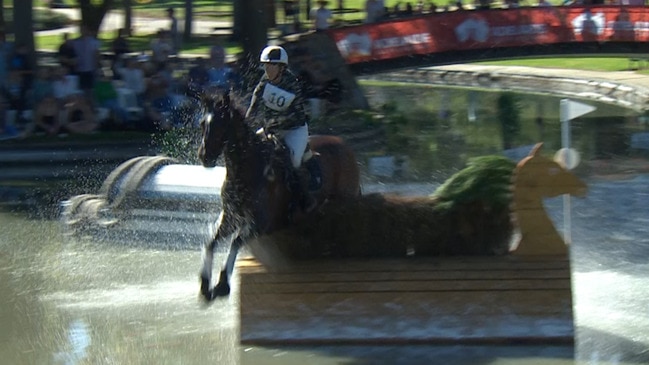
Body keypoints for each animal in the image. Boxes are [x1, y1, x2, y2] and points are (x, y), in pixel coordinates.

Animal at [197, 90, 360, 298]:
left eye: (222, 124)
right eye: (203, 123)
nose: (205, 157)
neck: (246, 169)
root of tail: (346, 147)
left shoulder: (260, 224)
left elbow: (235, 241)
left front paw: (223, 284)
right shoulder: (231, 218)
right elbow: (211, 242)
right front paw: (205, 284)